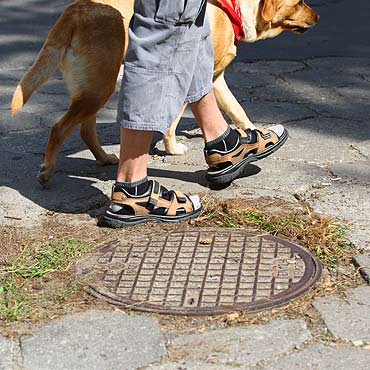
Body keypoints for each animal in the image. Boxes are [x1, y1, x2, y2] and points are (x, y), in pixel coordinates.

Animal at [10, 0, 318, 185]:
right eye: (300, 2)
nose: (318, 16)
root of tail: (74, 11)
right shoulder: (196, 76)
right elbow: (175, 119)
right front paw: (172, 147)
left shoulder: (215, 79)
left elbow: (237, 111)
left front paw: (255, 135)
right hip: (98, 90)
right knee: (59, 128)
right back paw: (47, 170)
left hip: (95, 88)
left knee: (85, 130)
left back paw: (104, 158)